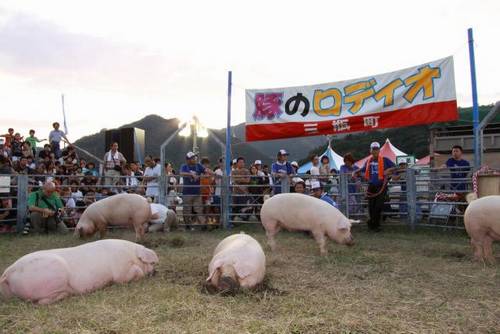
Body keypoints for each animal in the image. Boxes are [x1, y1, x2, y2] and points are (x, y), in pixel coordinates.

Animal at [0, 239, 158, 304]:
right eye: (151, 263)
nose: (156, 272)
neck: (132, 254)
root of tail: (8, 272)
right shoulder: (120, 272)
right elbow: (132, 273)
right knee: (41, 302)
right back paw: (65, 295)